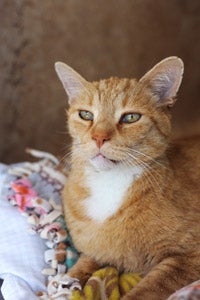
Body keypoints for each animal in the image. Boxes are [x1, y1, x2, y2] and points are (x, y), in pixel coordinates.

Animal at [54, 57, 200, 298]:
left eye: (131, 117)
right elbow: (83, 265)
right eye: (86, 115)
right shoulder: (95, 252)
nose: (99, 138)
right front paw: (64, 283)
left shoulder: (188, 258)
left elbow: (149, 288)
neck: (109, 184)